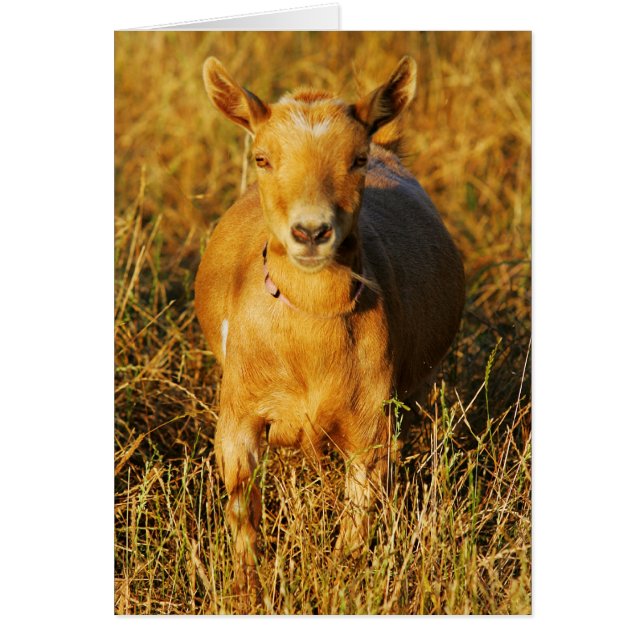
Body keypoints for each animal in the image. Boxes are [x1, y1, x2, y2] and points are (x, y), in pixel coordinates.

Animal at [196, 55, 465, 599]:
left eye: (356, 159)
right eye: (262, 158)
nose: (311, 231)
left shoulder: (371, 426)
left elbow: (356, 529)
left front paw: (344, 585)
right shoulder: (238, 415)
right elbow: (243, 509)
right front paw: (247, 591)